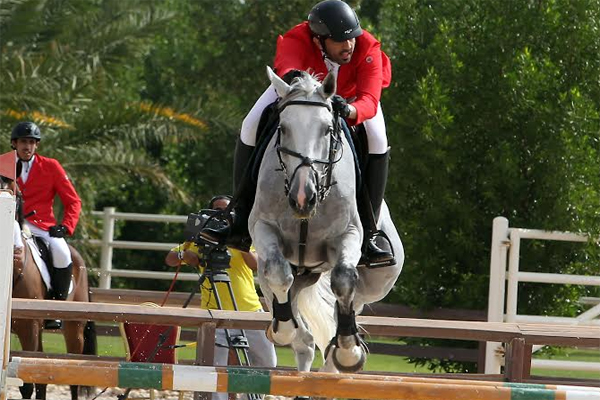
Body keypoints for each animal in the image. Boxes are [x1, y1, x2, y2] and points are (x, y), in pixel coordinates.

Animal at [2, 176, 97, 400]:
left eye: (14, 192)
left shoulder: (29, 328)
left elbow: (27, 385)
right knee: (42, 378)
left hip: (73, 330)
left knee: (73, 377)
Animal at [248, 67, 404, 374]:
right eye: (283, 129)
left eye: (327, 130)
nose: (302, 197)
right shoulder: (263, 228)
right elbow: (279, 274)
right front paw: (284, 329)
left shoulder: (349, 234)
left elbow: (343, 279)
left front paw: (349, 351)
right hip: (292, 271)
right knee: (297, 321)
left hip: (377, 281)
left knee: (353, 299)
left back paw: (338, 354)